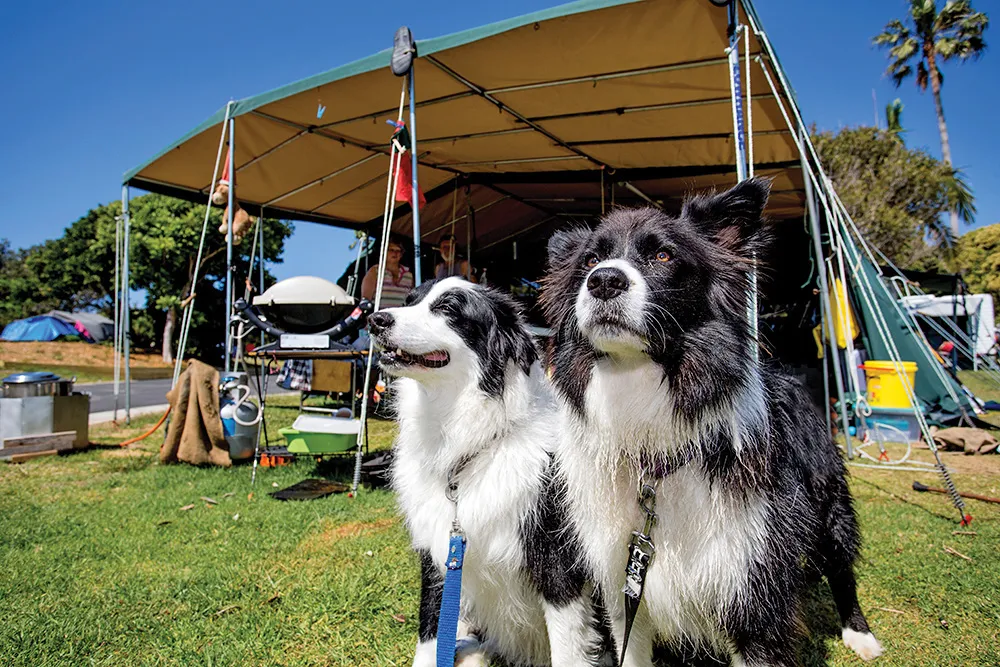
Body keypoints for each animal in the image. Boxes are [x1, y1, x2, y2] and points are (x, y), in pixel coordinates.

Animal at [366, 276, 604, 664]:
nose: (375, 320)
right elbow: (430, 630)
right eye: (410, 301)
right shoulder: (439, 557)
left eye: (448, 308)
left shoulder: (557, 563)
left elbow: (567, 648)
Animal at [540, 179, 884, 667]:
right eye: (590, 260)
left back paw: (860, 634)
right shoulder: (624, 584)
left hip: (826, 499)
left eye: (664, 255)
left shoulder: (752, 590)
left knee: (840, 562)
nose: (604, 280)